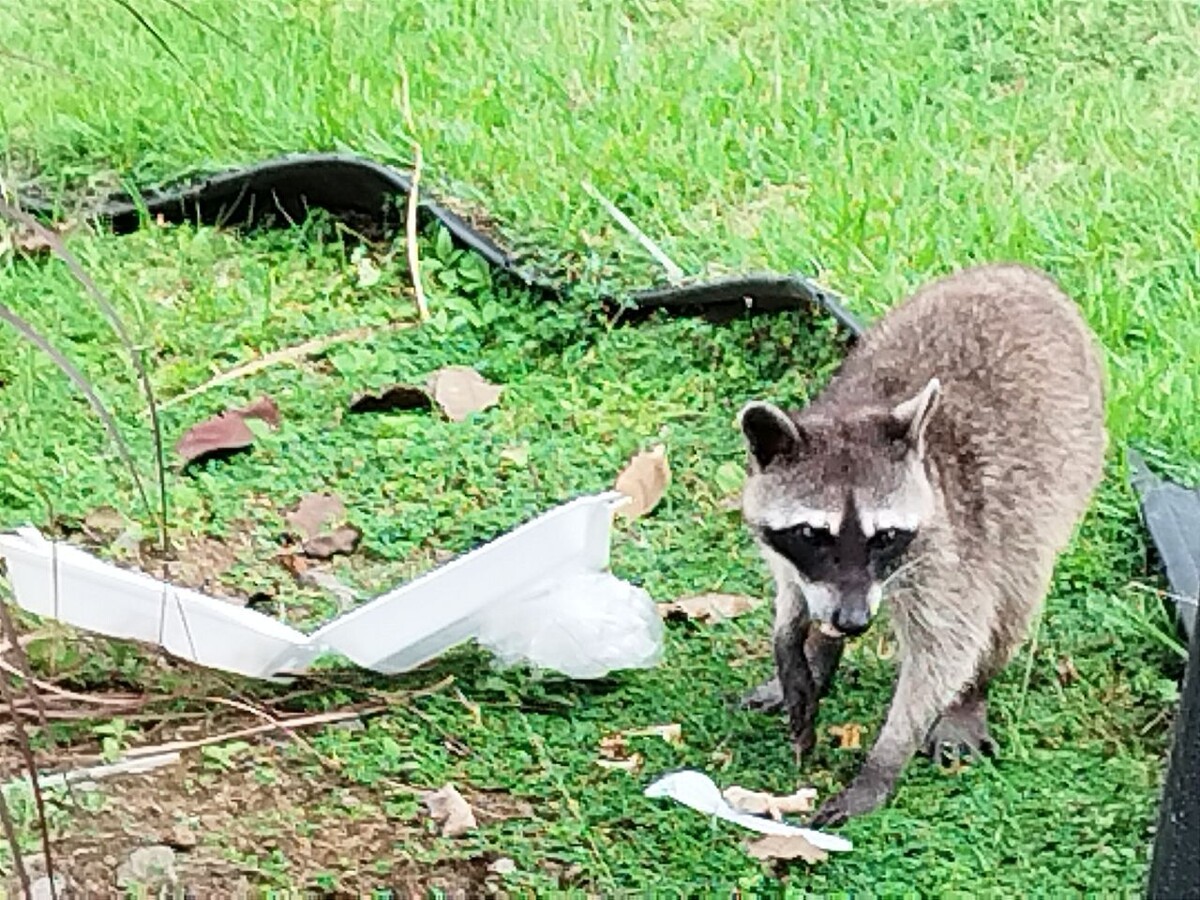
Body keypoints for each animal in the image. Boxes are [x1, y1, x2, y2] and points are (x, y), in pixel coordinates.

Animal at [734, 260, 1108, 825]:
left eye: (885, 536)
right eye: (811, 534)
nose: (853, 621)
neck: (856, 409)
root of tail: (1021, 272)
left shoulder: (948, 545)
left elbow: (948, 646)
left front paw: (885, 759)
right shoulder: (790, 540)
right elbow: (792, 584)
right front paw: (795, 639)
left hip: (1060, 486)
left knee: (1012, 597)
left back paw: (970, 695)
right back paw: (820, 653)